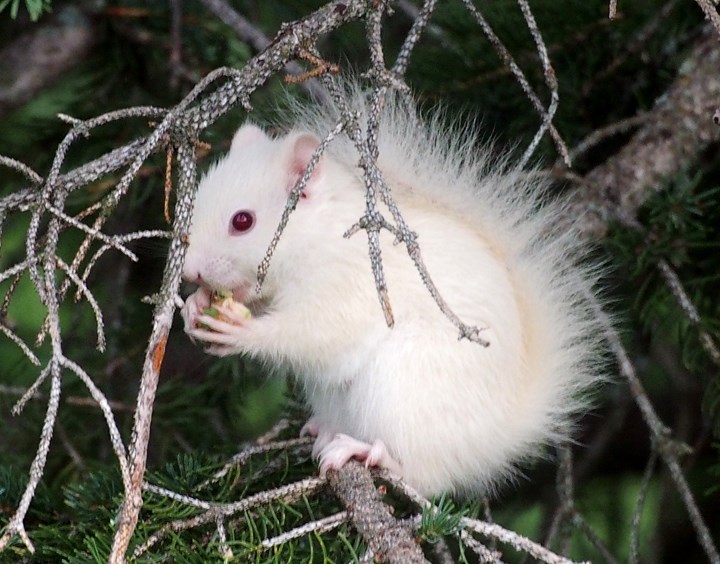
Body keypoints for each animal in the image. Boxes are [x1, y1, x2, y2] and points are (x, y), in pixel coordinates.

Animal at [179, 86, 600, 496]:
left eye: (242, 221)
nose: (189, 270)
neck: (318, 233)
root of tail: (498, 435)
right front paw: (194, 306)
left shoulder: (351, 282)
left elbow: (317, 333)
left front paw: (241, 330)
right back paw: (325, 428)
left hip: (404, 387)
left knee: (423, 475)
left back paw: (366, 451)